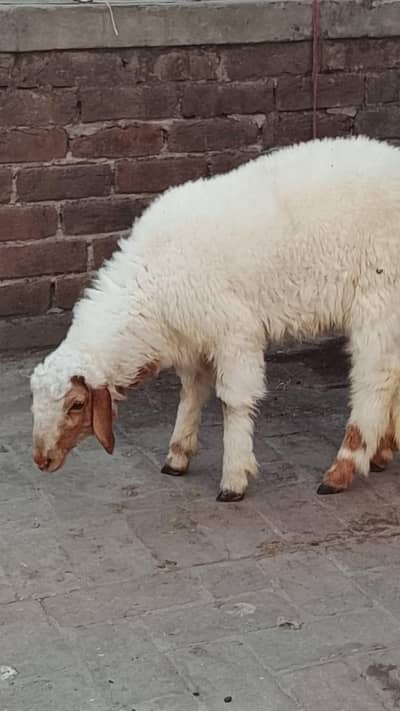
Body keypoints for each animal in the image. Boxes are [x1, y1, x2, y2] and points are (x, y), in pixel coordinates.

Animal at [31, 135, 400, 501]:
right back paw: (382, 451)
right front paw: (178, 456)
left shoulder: (234, 333)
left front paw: (234, 477)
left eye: (77, 404)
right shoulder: (194, 339)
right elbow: (191, 393)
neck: (151, 283)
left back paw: (343, 468)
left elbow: (233, 401)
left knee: (375, 379)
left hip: (378, 297)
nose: (41, 460)